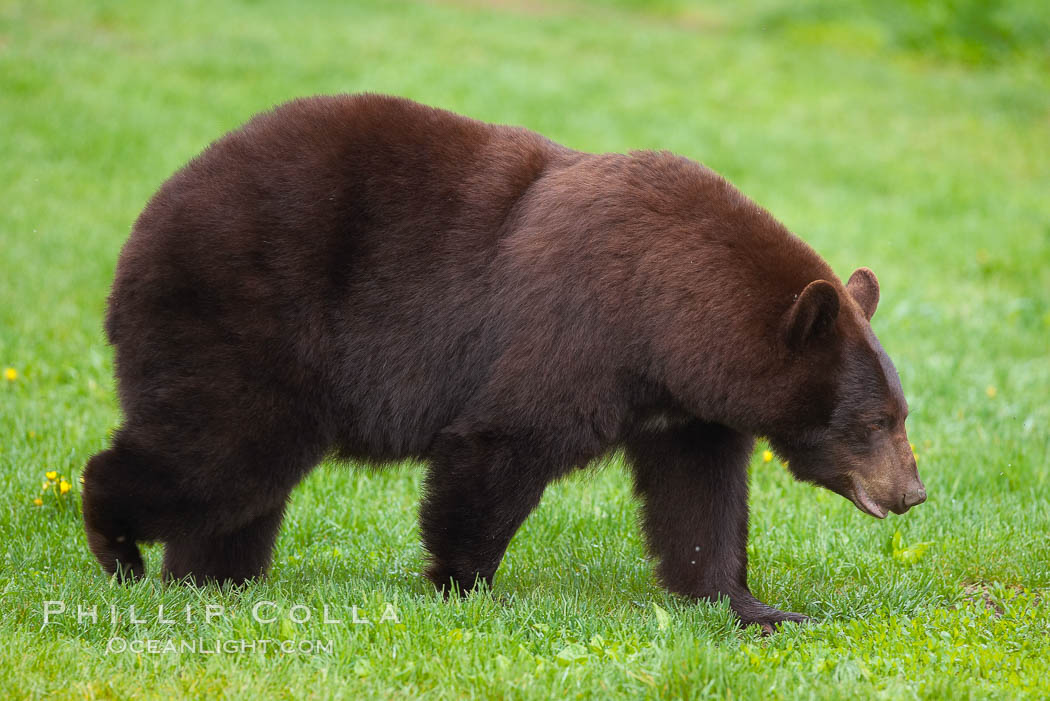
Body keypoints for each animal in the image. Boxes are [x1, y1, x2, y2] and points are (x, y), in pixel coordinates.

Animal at [84, 94, 928, 629]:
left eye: (901, 413)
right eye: (871, 421)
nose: (914, 491)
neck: (667, 315)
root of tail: (141, 230)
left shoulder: (687, 408)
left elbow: (701, 502)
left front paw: (756, 607)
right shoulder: (575, 334)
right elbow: (498, 447)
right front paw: (464, 585)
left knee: (237, 486)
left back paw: (210, 576)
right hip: (245, 317)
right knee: (217, 453)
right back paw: (119, 546)